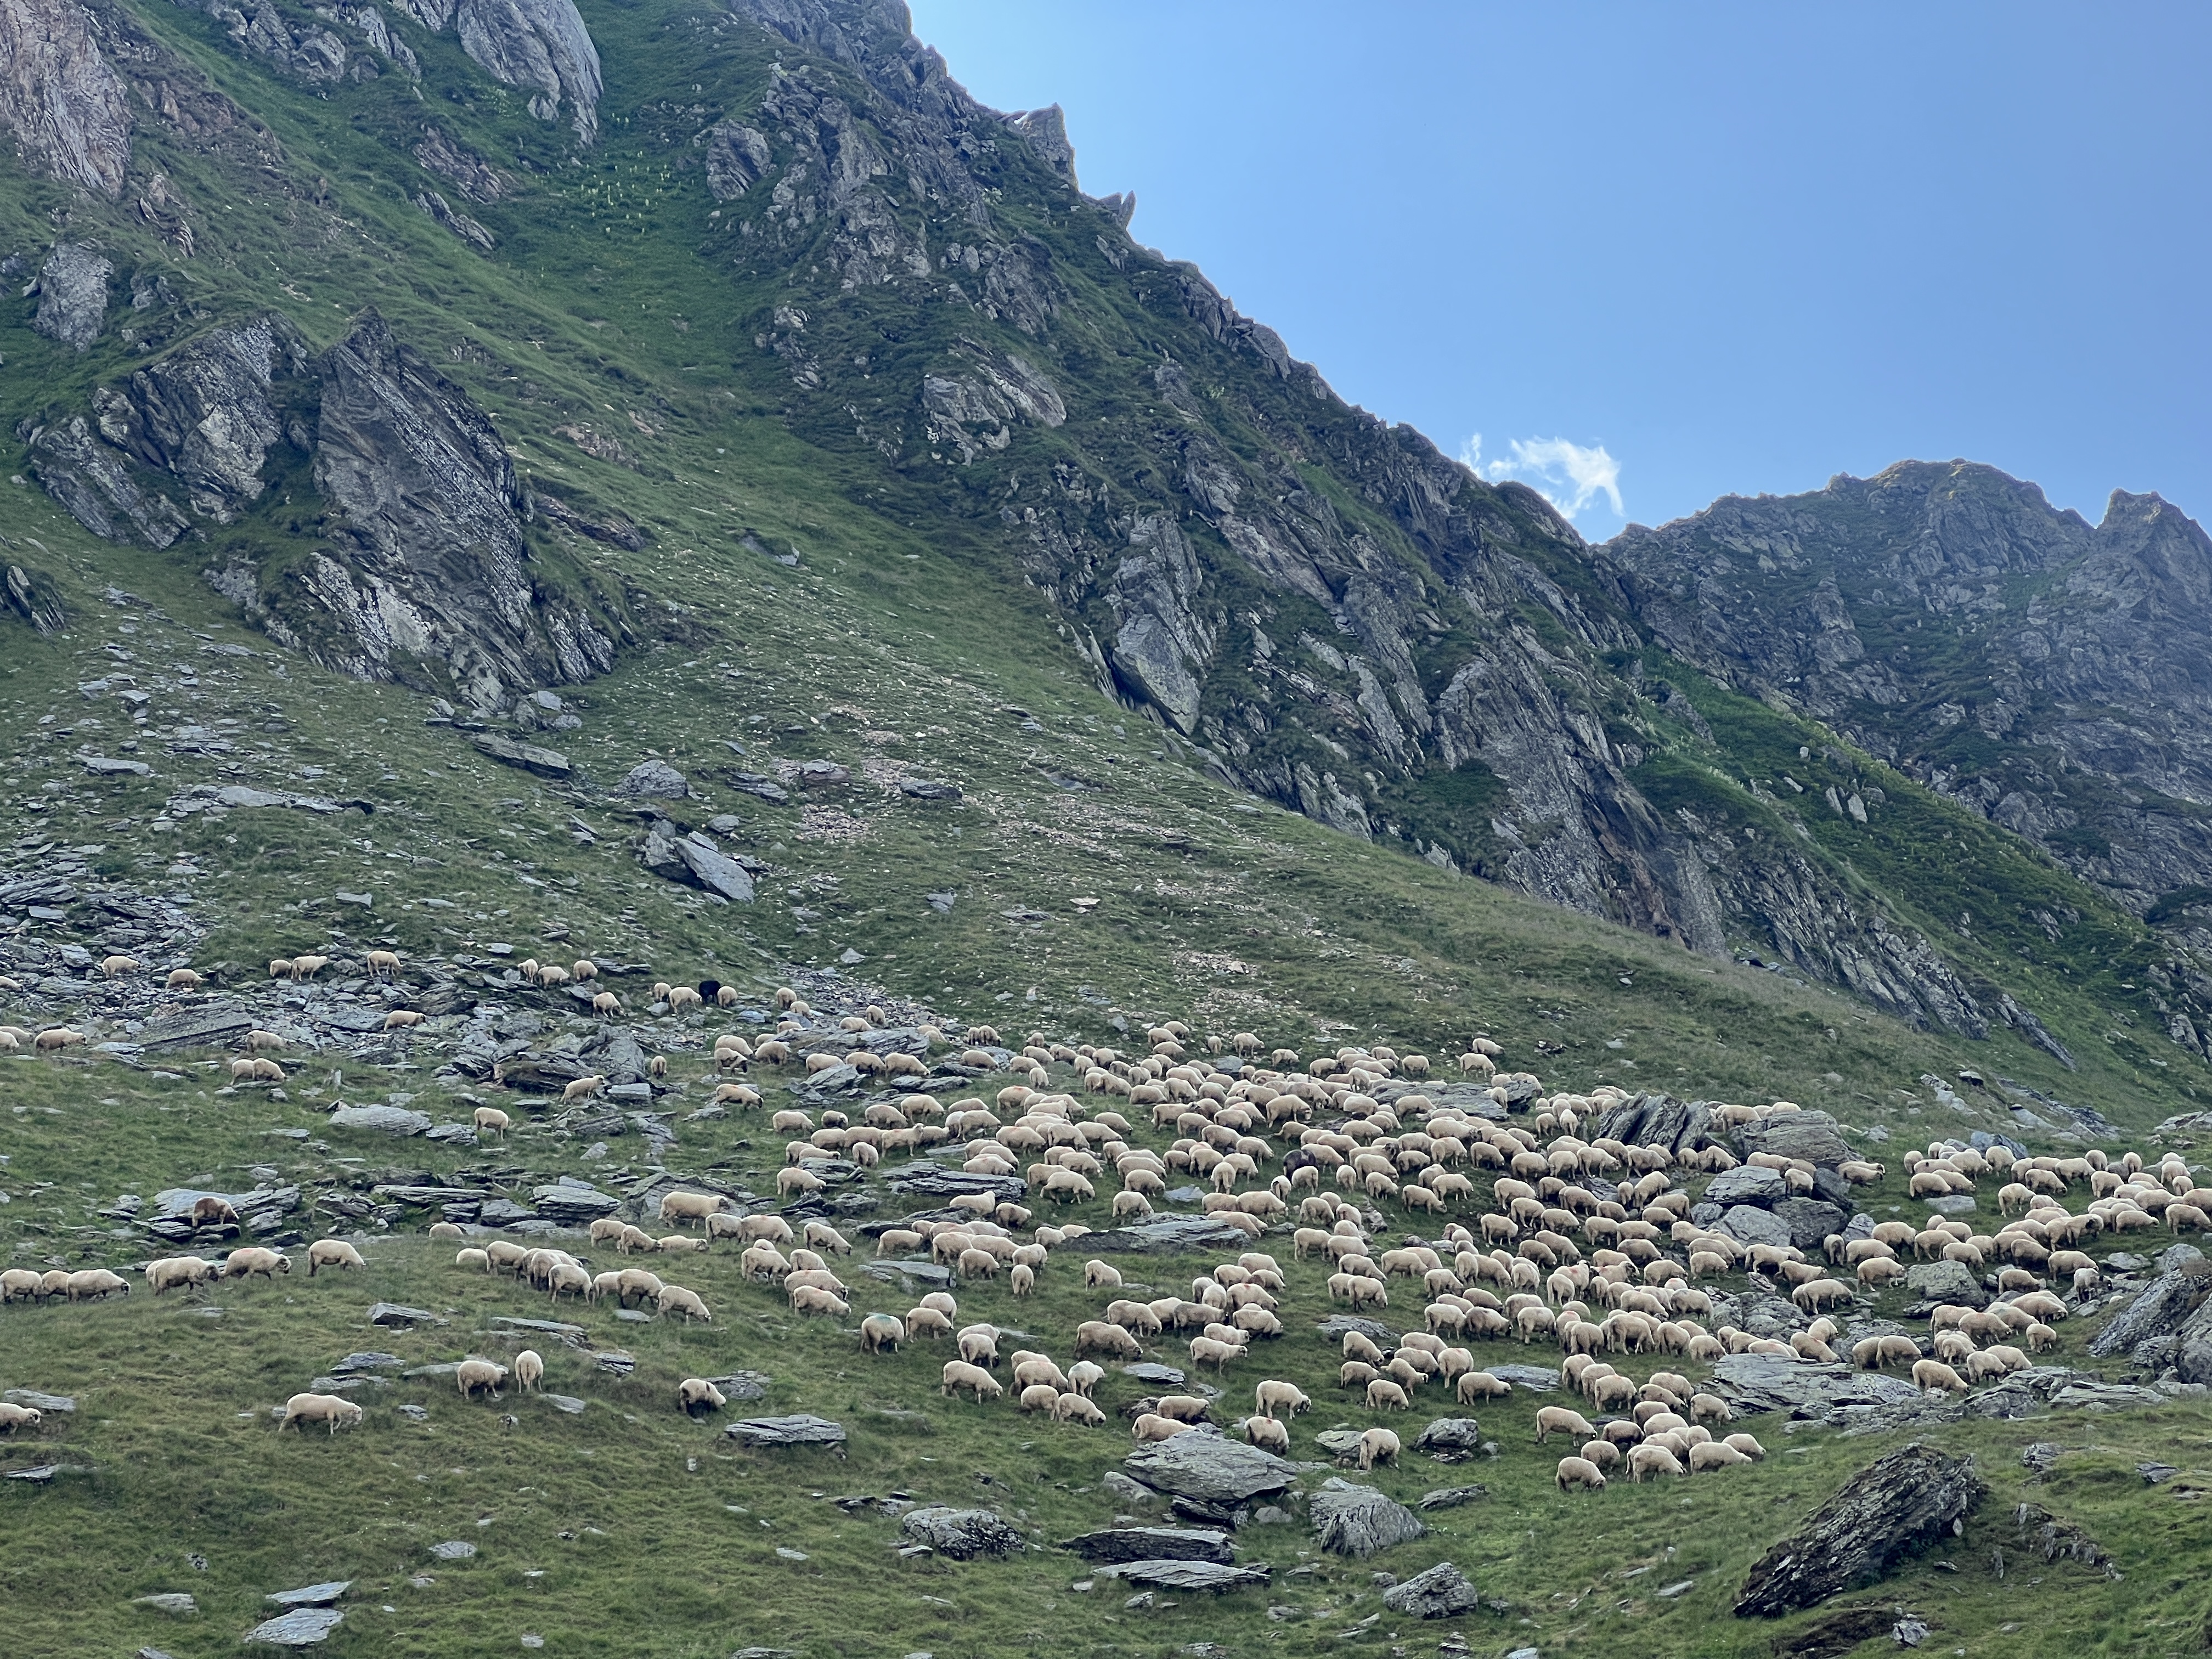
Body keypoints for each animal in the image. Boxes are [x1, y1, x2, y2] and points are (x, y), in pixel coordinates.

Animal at [279, 1393, 364, 1436]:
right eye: (359, 1412)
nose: (360, 1420)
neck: (340, 1406)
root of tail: (289, 1401)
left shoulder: (336, 1414)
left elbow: (340, 1420)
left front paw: (336, 1428)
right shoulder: (330, 1413)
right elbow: (331, 1423)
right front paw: (332, 1433)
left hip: (297, 1415)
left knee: (294, 1423)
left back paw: (298, 1433)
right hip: (292, 1412)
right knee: (284, 1421)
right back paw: (280, 1432)